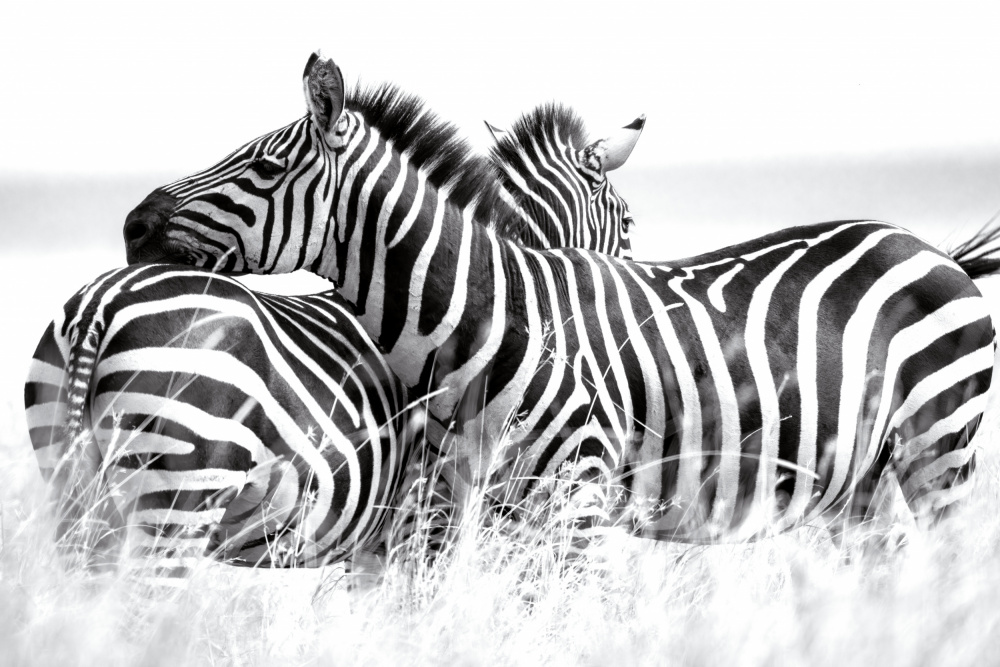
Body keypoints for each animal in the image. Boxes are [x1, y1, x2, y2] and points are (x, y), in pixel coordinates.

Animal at [25, 99, 643, 577]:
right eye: (628, 223)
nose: (135, 226)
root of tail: (99, 307)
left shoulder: (378, 540)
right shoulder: (427, 520)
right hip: (177, 492)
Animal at [122, 53, 996, 556]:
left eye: (264, 168)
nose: (133, 226)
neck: (486, 321)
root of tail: (925, 246)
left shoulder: (574, 496)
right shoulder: (475, 504)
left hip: (939, 448)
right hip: (866, 477)